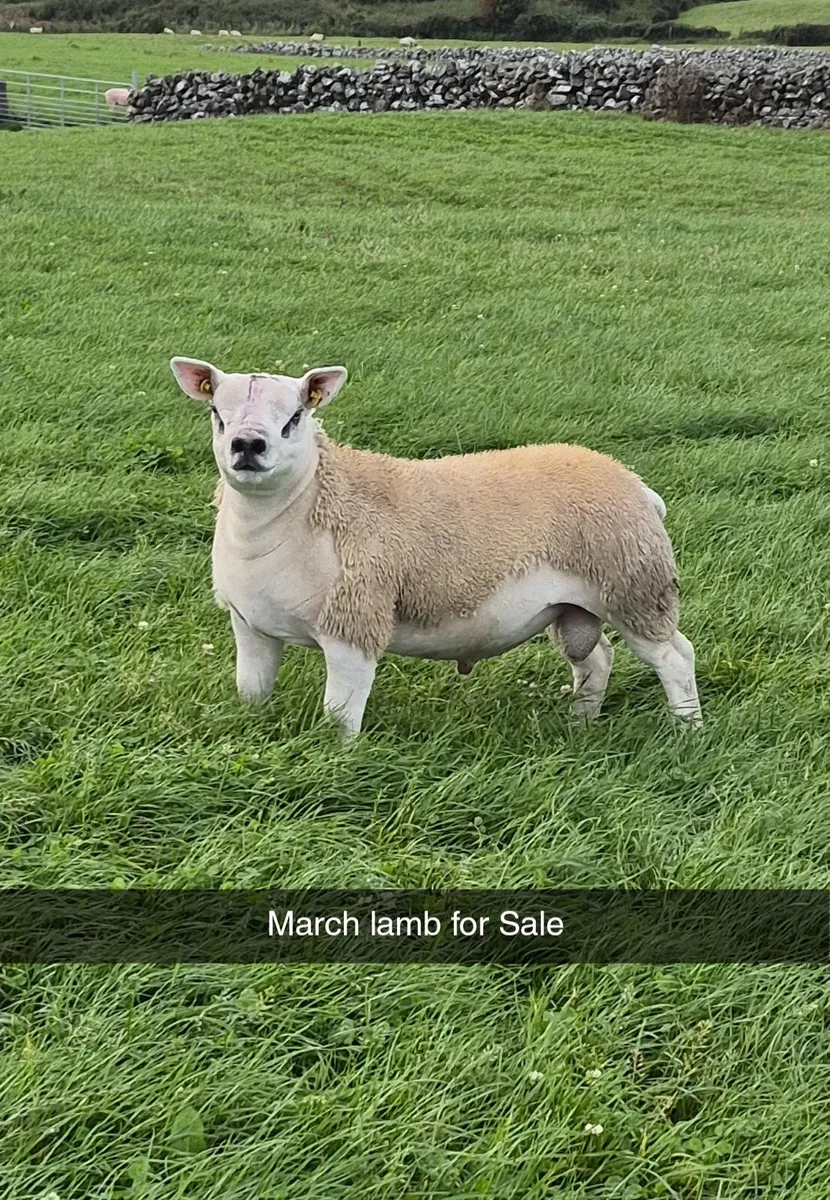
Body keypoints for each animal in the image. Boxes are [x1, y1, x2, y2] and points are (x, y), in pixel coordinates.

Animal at [170, 356, 702, 738]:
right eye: (217, 414)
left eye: (296, 417)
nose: (248, 446)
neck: (312, 503)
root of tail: (637, 486)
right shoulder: (251, 626)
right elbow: (251, 692)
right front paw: (252, 731)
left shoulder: (355, 622)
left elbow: (340, 714)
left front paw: (339, 758)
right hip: (574, 606)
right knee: (595, 661)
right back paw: (581, 725)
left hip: (636, 588)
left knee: (676, 657)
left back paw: (688, 730)